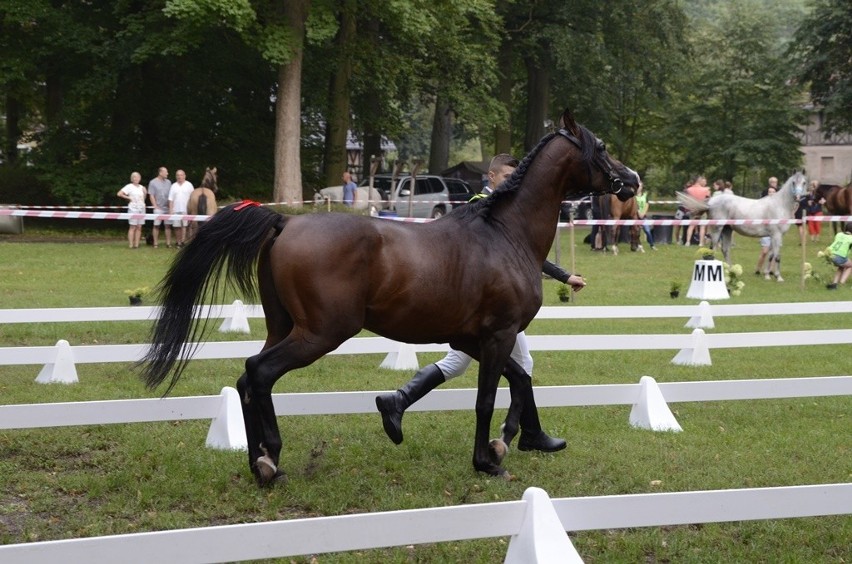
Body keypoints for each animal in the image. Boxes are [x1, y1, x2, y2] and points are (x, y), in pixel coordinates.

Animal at [140, 109, 636, 484]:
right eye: (601, 147)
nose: (631, 181)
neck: (504, 234)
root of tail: (285, 221)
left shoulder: (471, 339)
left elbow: (519, 380)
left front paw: (507, 440)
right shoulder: (498, 335)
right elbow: (487, 397)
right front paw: (487, 460)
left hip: (285, 327)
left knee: (247, 379)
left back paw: (260, 461)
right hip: (320, 333)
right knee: (259, 373)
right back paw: (270, 460)